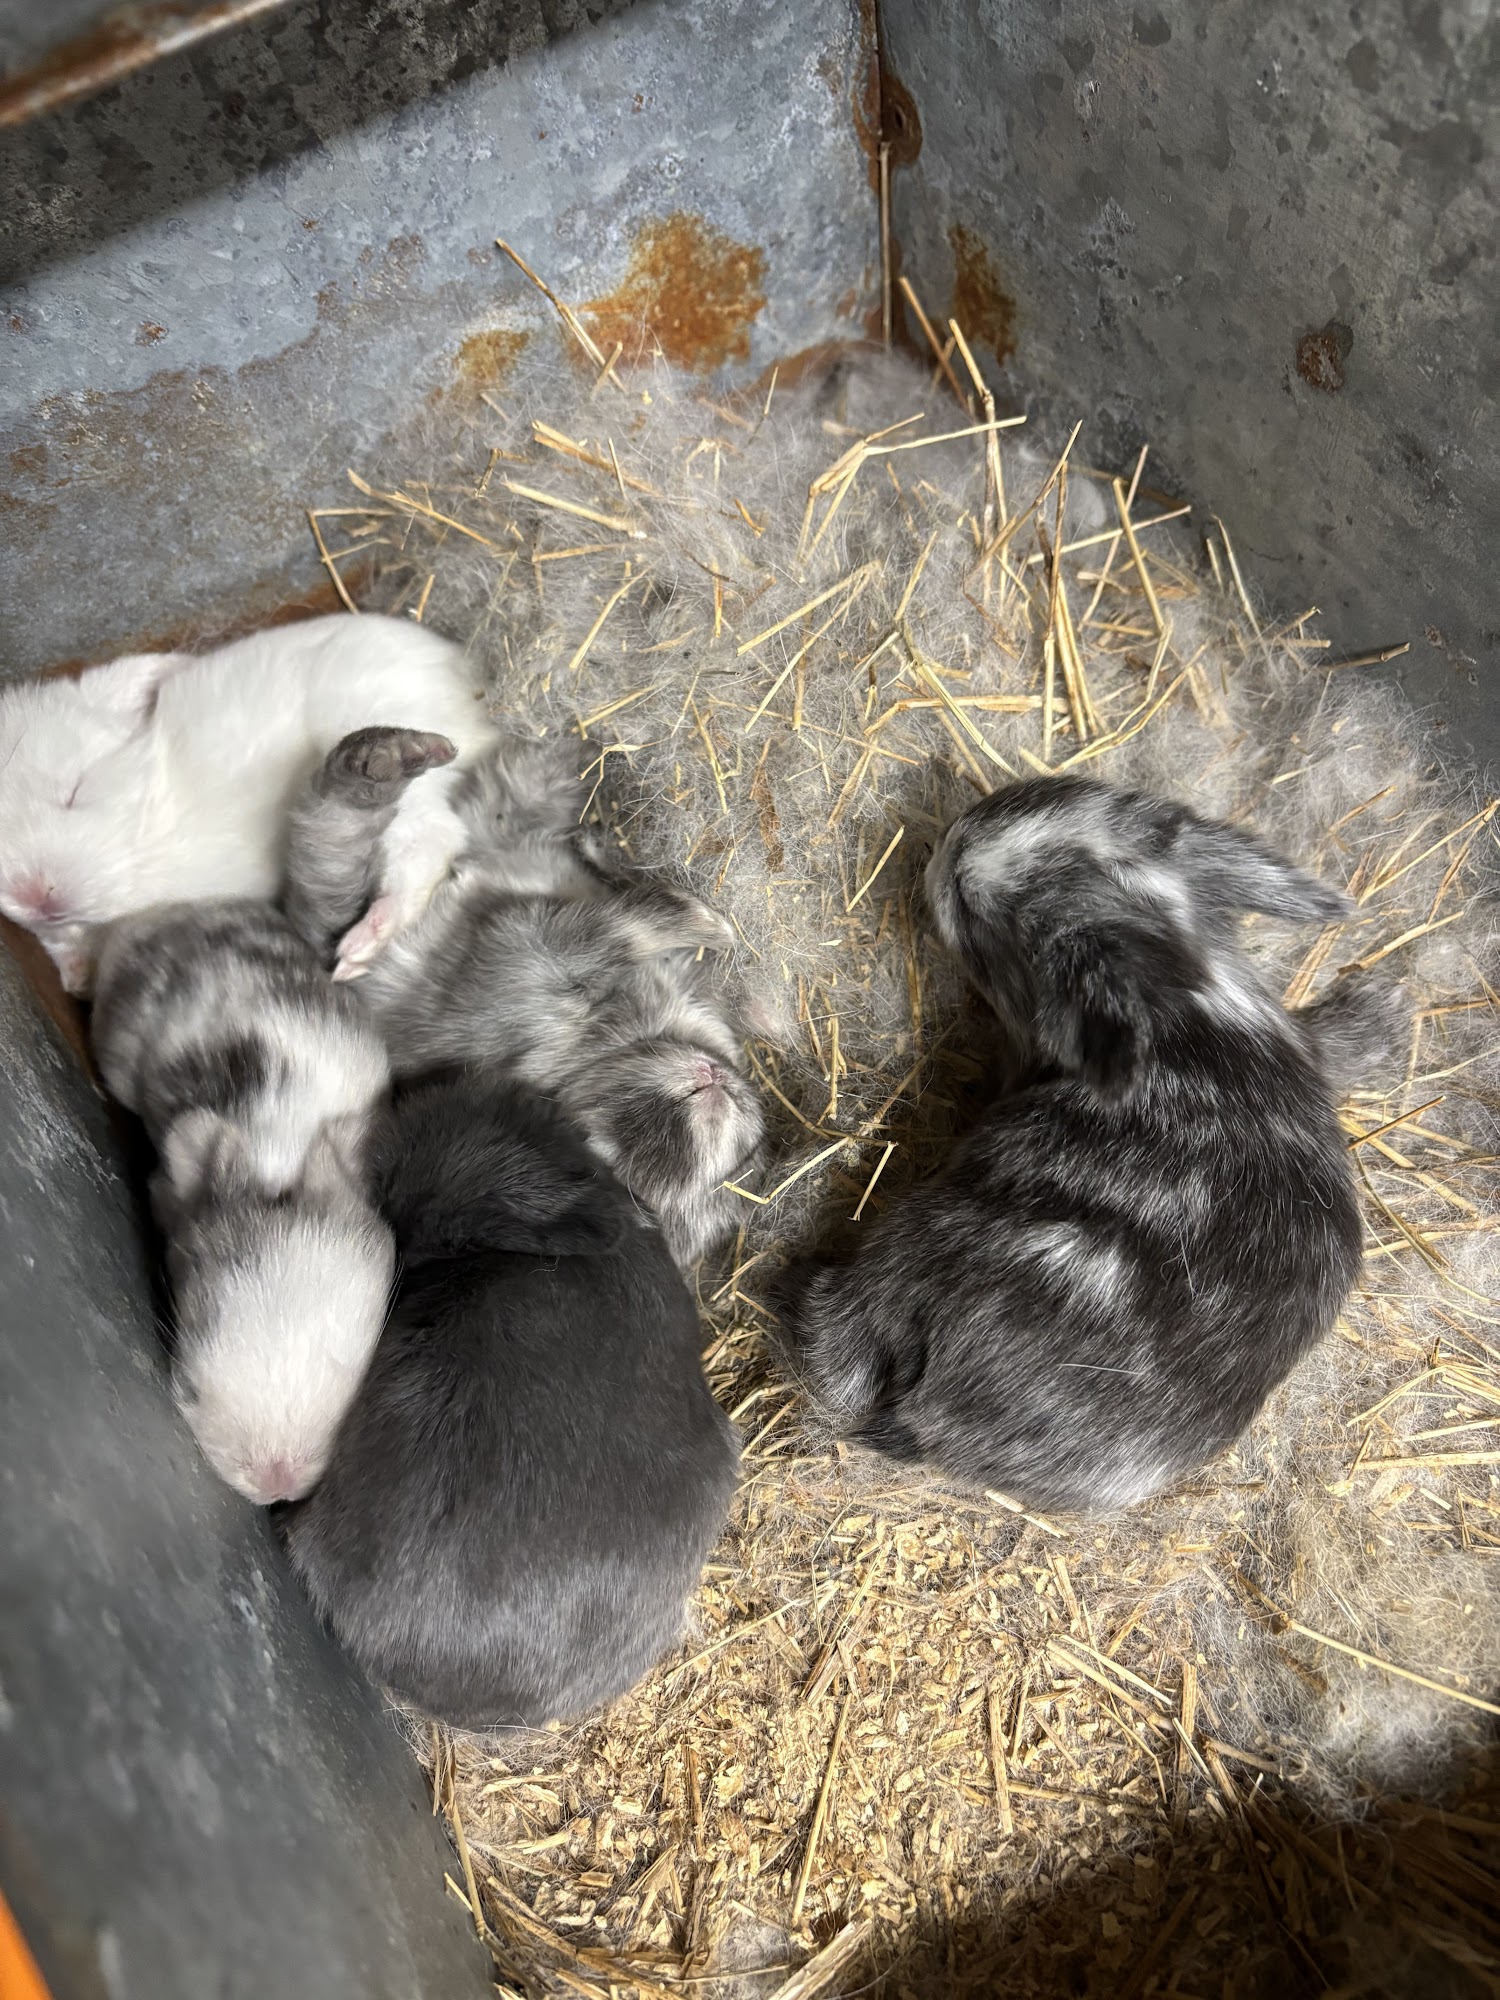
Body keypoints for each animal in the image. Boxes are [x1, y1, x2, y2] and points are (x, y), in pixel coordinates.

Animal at [0, 612, 495, 995]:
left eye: (74, 790)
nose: (34, 895)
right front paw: (76, 976)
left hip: (406, 794)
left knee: (434, 843)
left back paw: (361, 946)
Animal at [283, 726, 766, 1267]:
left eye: (743, 1163)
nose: (713, 1083)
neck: (602, 1048)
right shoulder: (551, 944)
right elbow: (636, 920)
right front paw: (714, 924)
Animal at [781, 774, 1396, 1515]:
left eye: (966, 902)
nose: (946, 841)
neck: (1178, 982)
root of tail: (934, 1423)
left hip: (912, 1240)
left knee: (838, 1350)